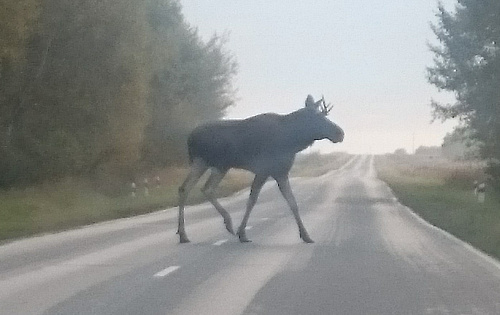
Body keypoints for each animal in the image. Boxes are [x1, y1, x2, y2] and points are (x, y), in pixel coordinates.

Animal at [176, 95, 344, 244]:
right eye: (318, 117)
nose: (340, 133)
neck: (292, 140)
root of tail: (189, 138)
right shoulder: (264, 170)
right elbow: (252, 200)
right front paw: (242, 233)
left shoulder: (281, 172)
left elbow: (292, 202)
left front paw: (306, 235)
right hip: (207, 162)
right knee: (198, 188)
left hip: (217, 165)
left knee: (195, 188)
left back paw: (186, 233)